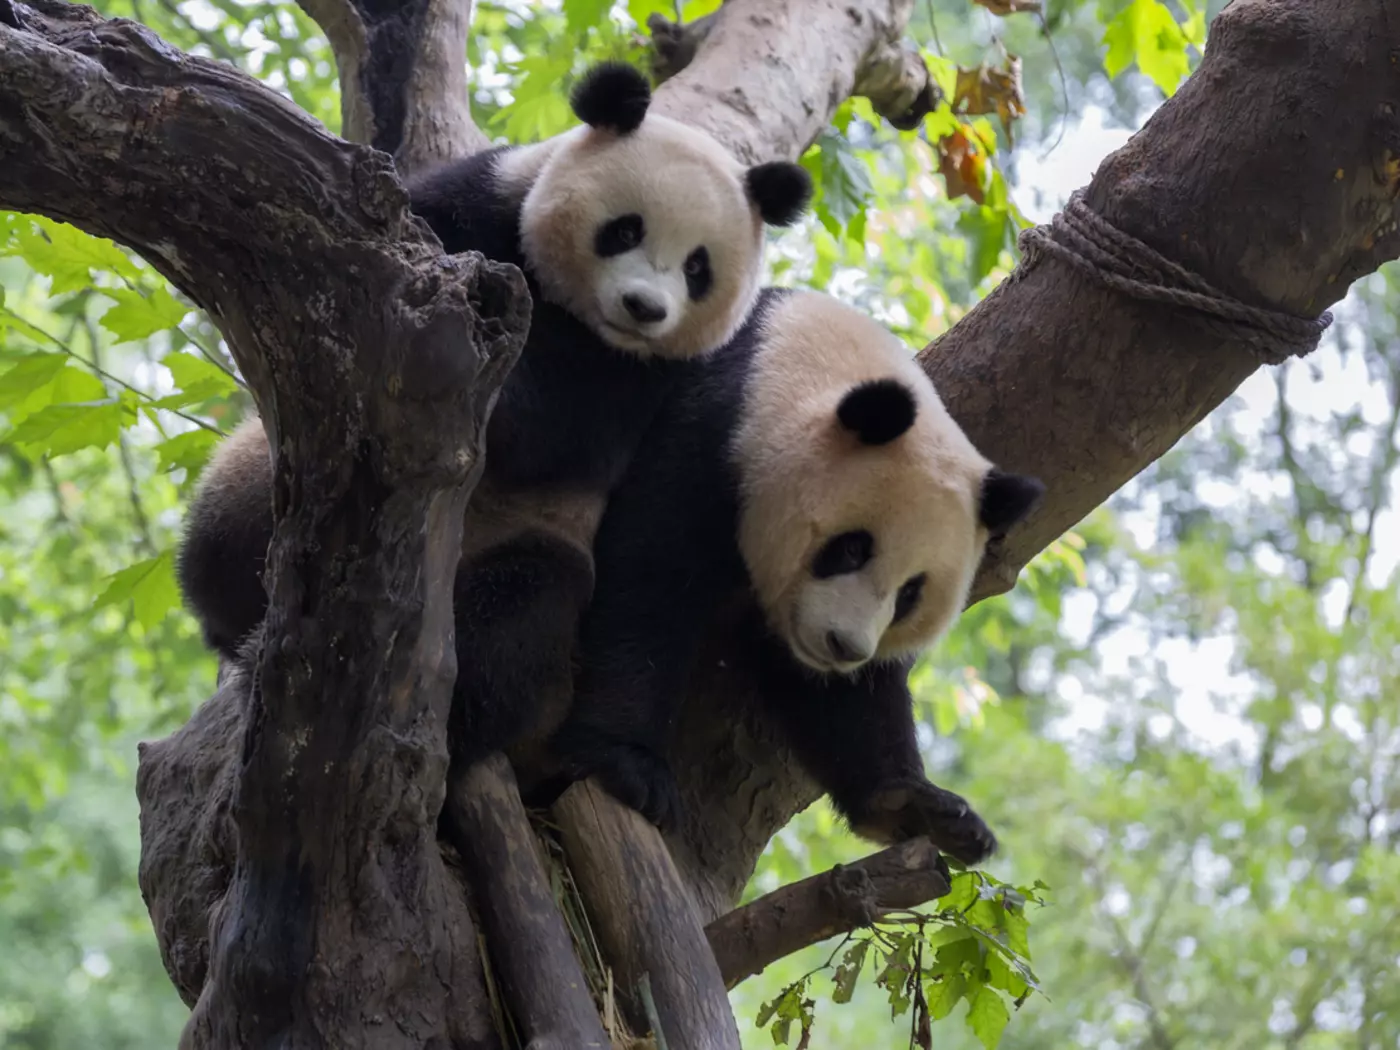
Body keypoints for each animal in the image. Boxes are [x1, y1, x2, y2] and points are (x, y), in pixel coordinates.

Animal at [175, 62, 813, 788]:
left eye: (698, 267)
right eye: (626, 230)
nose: (645, 308)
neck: (574, 313)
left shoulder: (652, 378)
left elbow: (562, 430)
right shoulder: (480, 202)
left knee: (524, 608)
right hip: (250, 480)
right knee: (225, 536)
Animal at [549, 288, 1044, 865]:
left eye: (910, 593)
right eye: (851, 548)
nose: (844, 646)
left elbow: (846, 697)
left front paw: (922, 807)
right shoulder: (709, 432)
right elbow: (651, 578)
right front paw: (627, 765)